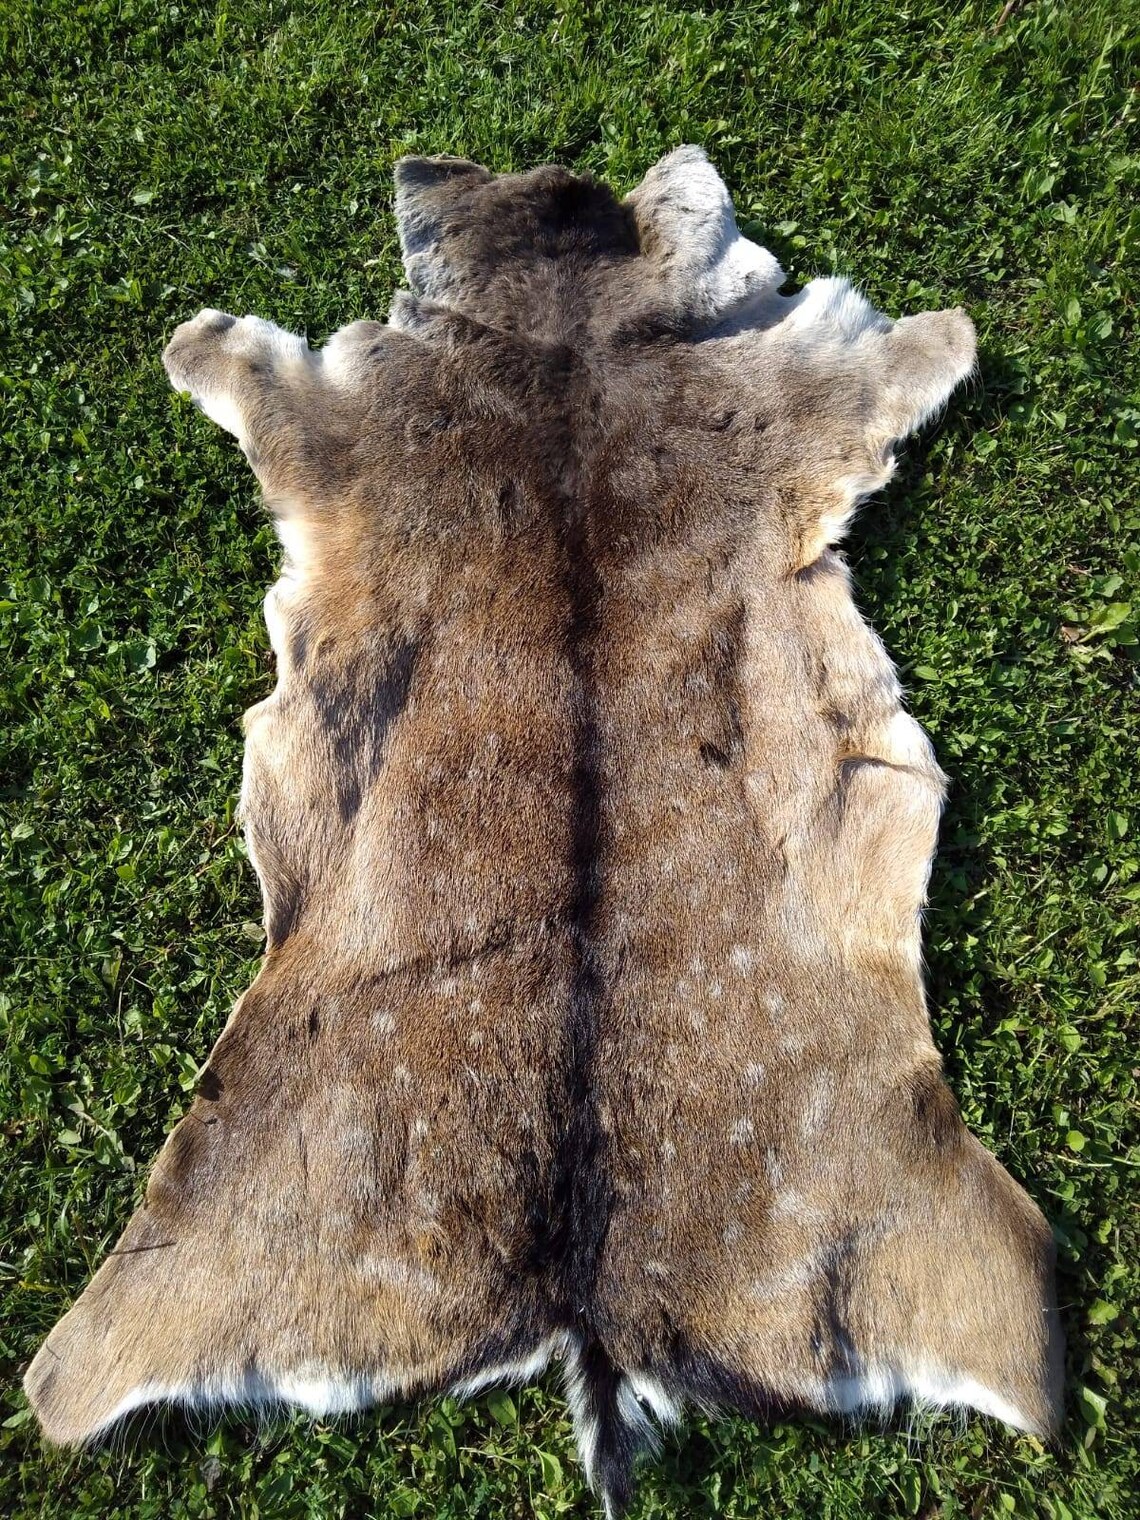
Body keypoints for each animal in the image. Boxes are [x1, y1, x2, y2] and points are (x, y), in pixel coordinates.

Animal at [25, 146, 1063, 1516]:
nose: (576, 173)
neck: (574, 337)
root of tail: (587, 1304)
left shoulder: (355, 411)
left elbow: (269, 378)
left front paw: (193, 335)